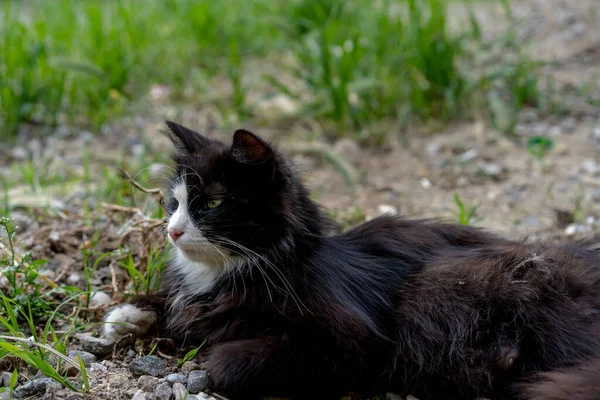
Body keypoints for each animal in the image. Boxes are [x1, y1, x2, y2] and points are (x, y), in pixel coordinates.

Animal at [101, 122, 600, 400]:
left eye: (213, 204)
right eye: (174, 203)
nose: (172, 230)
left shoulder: (354, 341)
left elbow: (229, 361)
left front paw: (211, 358)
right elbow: (168, 305)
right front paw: (124, 317)